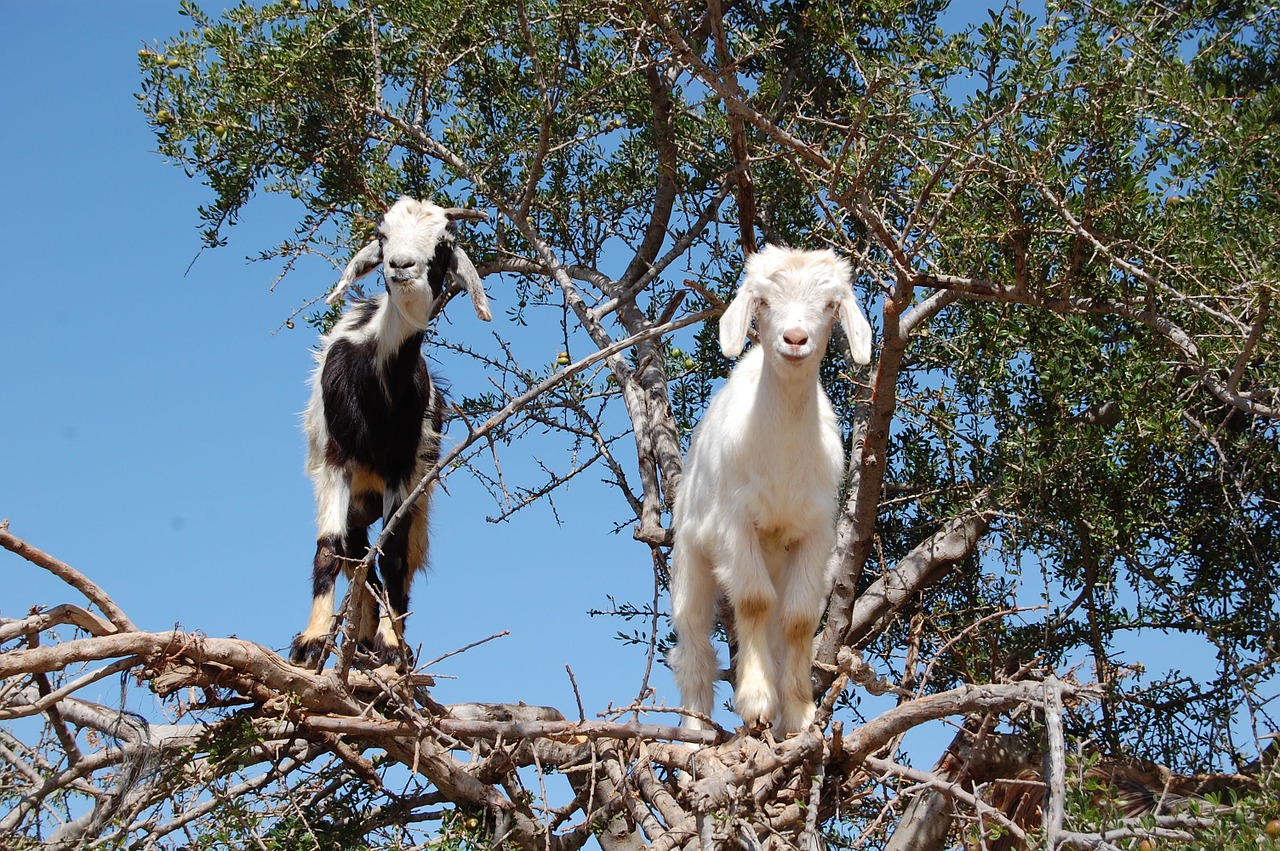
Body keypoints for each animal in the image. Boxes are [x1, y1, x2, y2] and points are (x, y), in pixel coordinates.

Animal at [293, 195, 491, 665]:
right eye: (381, 236)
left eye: (443, 243)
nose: (401, 265)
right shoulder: (335, 461)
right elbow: (327, 549)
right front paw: (311, 640)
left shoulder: (403, 468)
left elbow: (394, 556)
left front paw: (390, 644)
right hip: (355, 501)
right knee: (355, 559)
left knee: (385, 564)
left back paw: (375, 644)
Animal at [670, 241, 870, 731]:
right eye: (762, 301)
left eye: (831, 304)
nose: (795, 339)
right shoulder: (734, 525)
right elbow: (755, 602)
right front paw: (757, 700)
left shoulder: (815, 533)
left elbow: (797, 619)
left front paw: (797, 712)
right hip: (691, 555)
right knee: (693, 643)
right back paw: (692, 731)